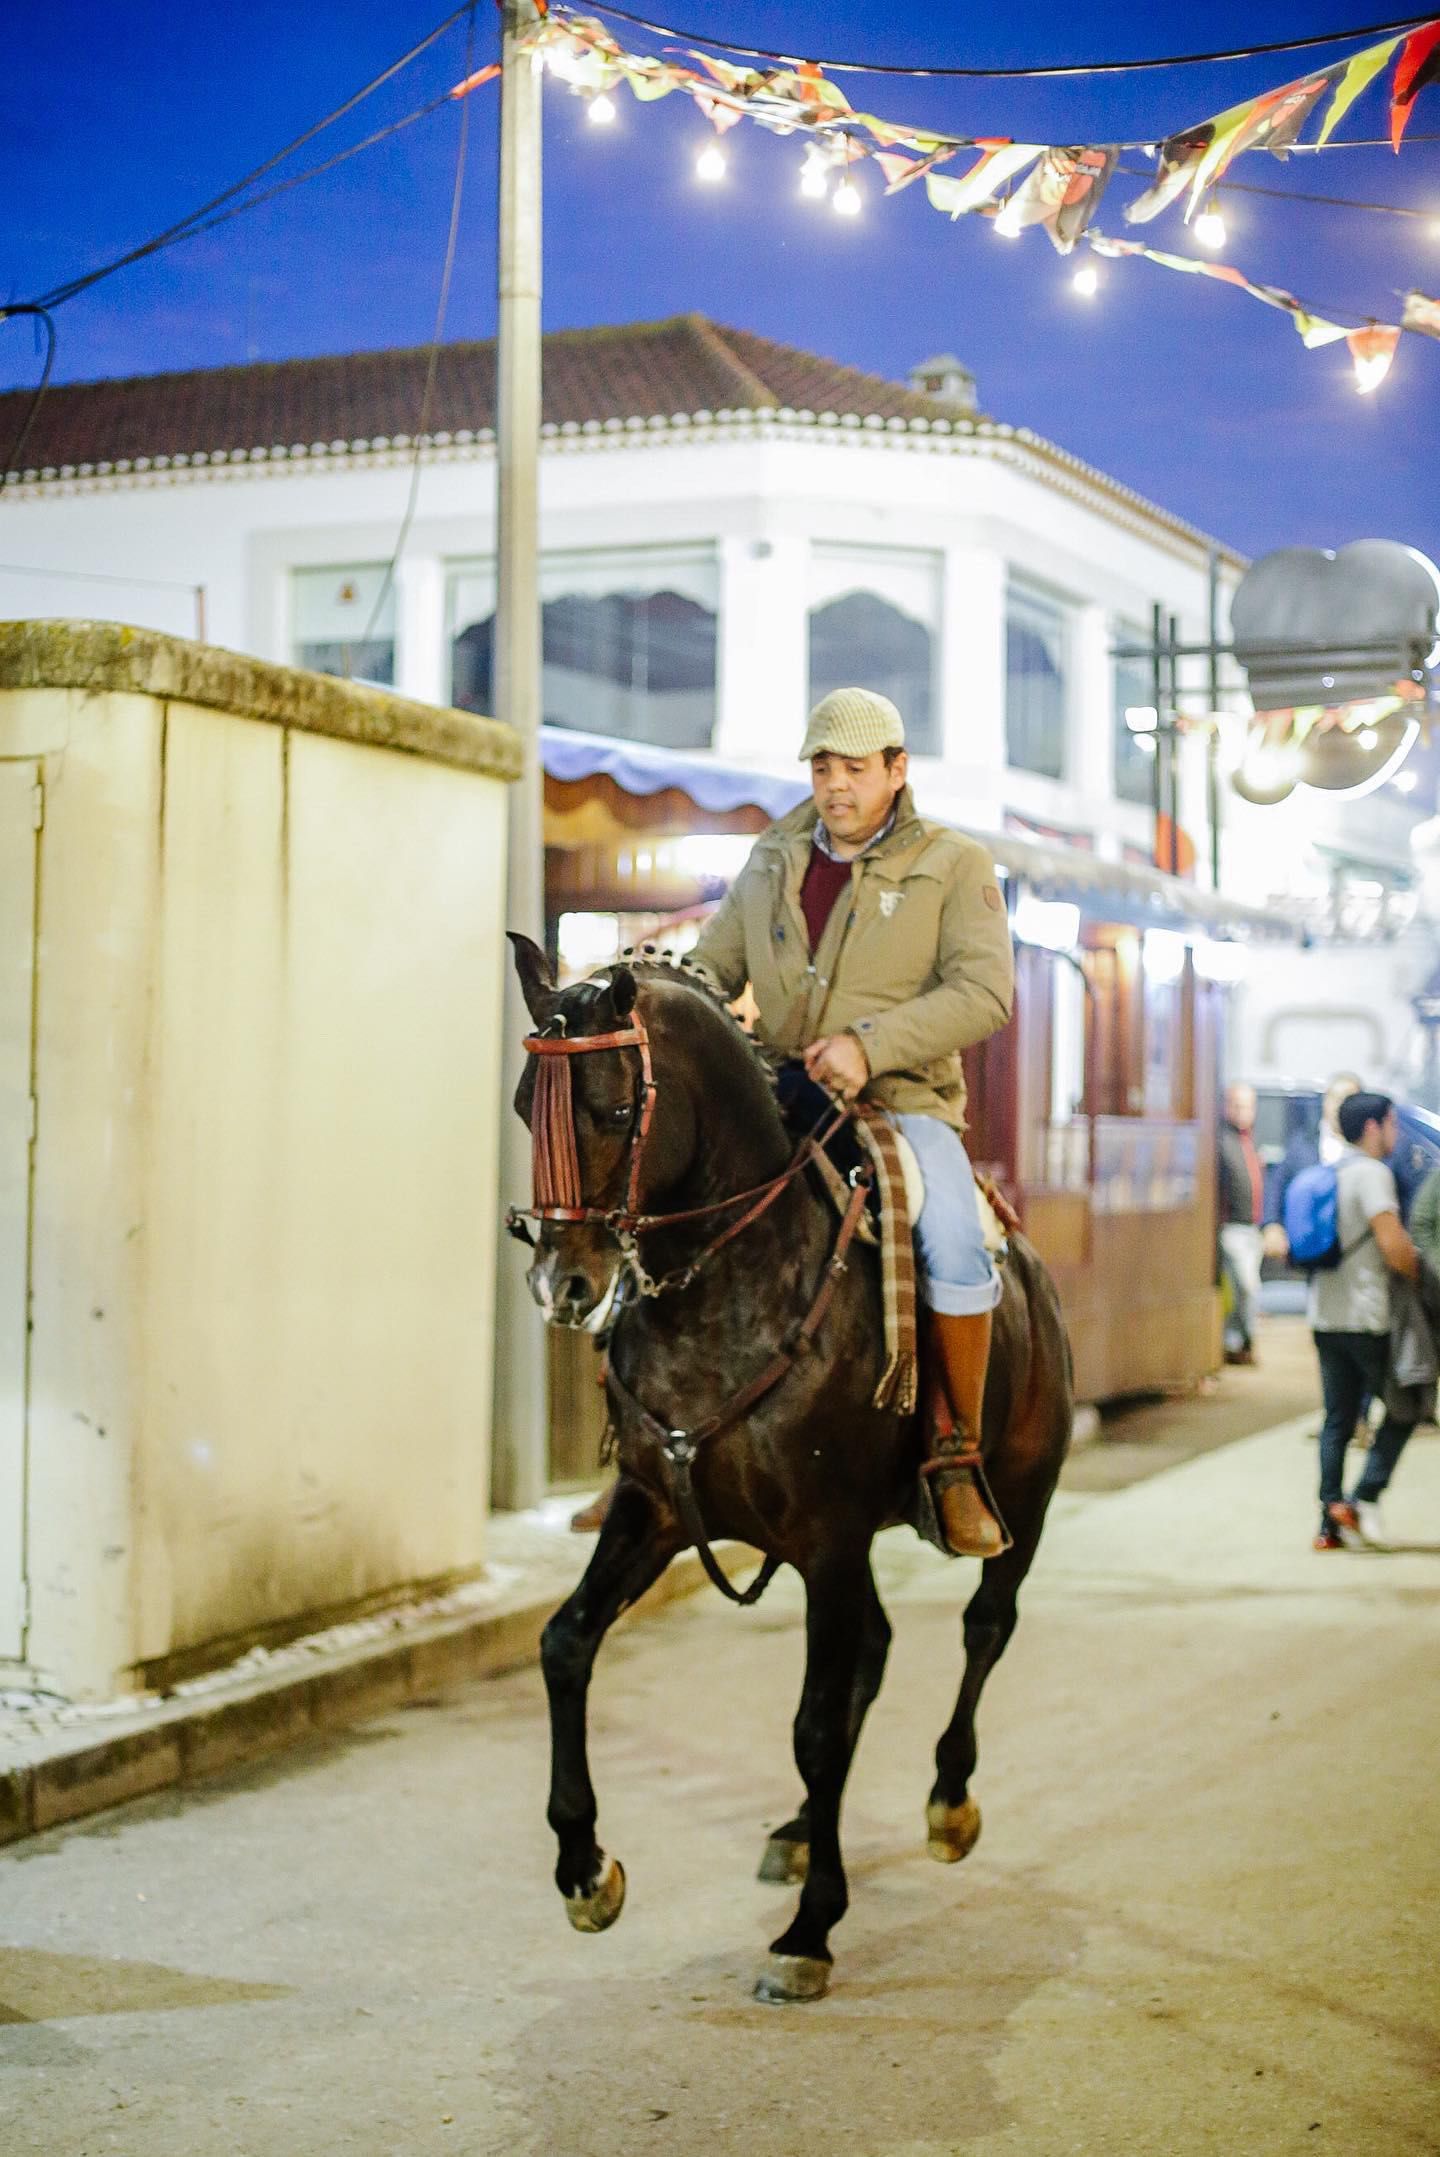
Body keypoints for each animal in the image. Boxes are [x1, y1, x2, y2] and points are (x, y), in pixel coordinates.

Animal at [506, 940, 1069, 2001]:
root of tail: (1030, 1270)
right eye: (526, 1104)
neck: (726, 1295)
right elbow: (565, 1644)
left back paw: (948, 1799)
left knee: (985, 1626)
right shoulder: (656, 1509)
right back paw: (807, 1827)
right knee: (875, 1653)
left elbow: (812, 1724)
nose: (564, 1285)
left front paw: (810, 1930)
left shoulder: (827, 1538)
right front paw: (585, 1870)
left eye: (614, 1108)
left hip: (1020, 1491)